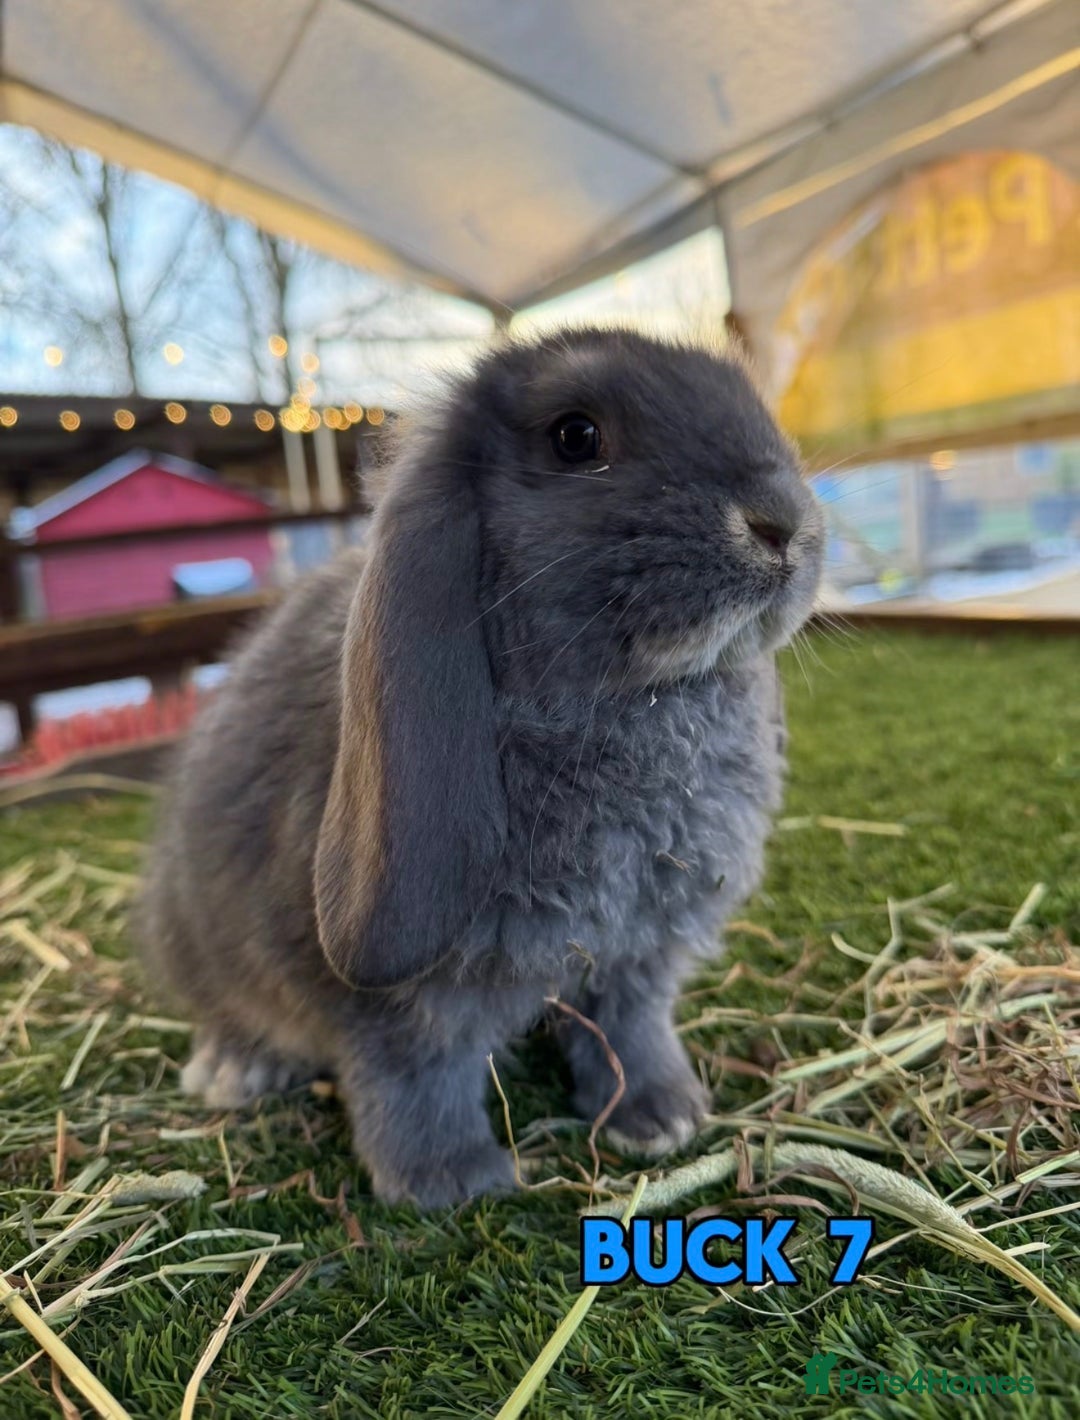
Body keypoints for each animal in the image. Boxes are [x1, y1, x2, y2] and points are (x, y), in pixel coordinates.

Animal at [134, 326, 824, 1208]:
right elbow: (416, 1074)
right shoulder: (404, 1001)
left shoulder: (637, 954)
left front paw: (662, 1117)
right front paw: (450, 1183)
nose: (783, 522)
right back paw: (235, 1071)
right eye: (576, 437)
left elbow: (630, 1032)